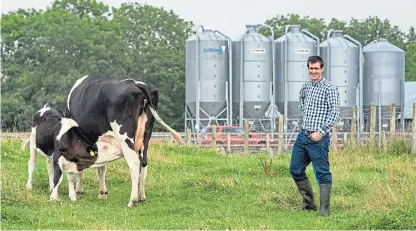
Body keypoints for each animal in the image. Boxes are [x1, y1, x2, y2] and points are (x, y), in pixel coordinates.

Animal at [67, 75, 183, 207]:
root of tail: (139, 84)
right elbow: (102, 167)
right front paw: (102, 192)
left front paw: (79, 190)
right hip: (146, 136)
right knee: (144, 164)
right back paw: (141, 196)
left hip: (125, 138)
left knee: (134, 164)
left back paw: (132, 200)